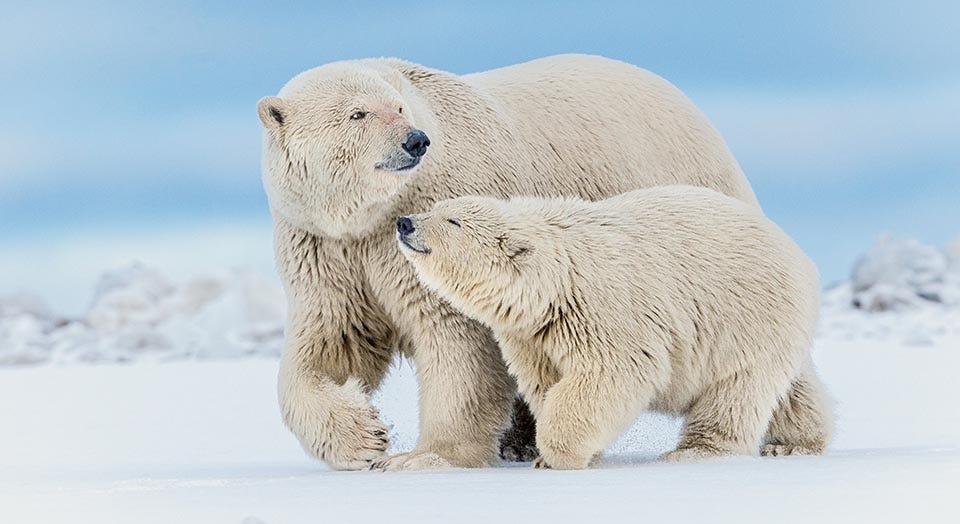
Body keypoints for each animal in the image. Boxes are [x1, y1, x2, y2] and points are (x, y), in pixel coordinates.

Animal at [258, 54, 760, 470]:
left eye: (399, 108)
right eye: (357, 113)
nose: (414, 141)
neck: (370, 216)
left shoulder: (432, 218)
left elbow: (457, 340)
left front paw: (427, 457)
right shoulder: (325, 249)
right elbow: (331, 346)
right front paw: (364, 438)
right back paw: (521, 442)